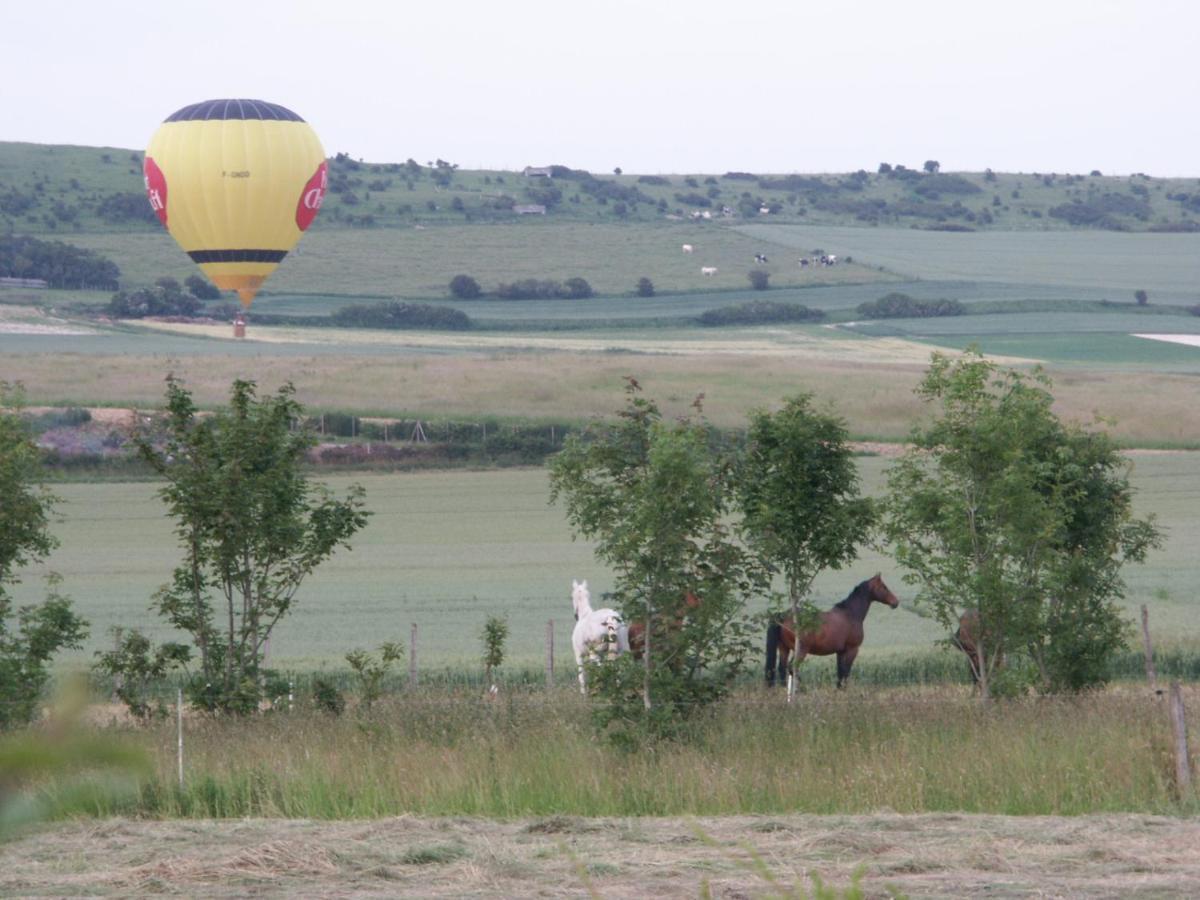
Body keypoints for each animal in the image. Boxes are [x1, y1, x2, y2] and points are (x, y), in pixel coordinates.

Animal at [763, 578, 897, 691]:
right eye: (884, 587)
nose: (896, 602)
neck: (850, 614)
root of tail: (783, 615)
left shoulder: (840, 652)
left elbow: (840, 671)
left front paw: (839, 689)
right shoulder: (852, 649)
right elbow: (846, 671)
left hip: (784, 648)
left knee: (782, 668)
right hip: (801, 650)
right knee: (791, 667)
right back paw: (800, 688)